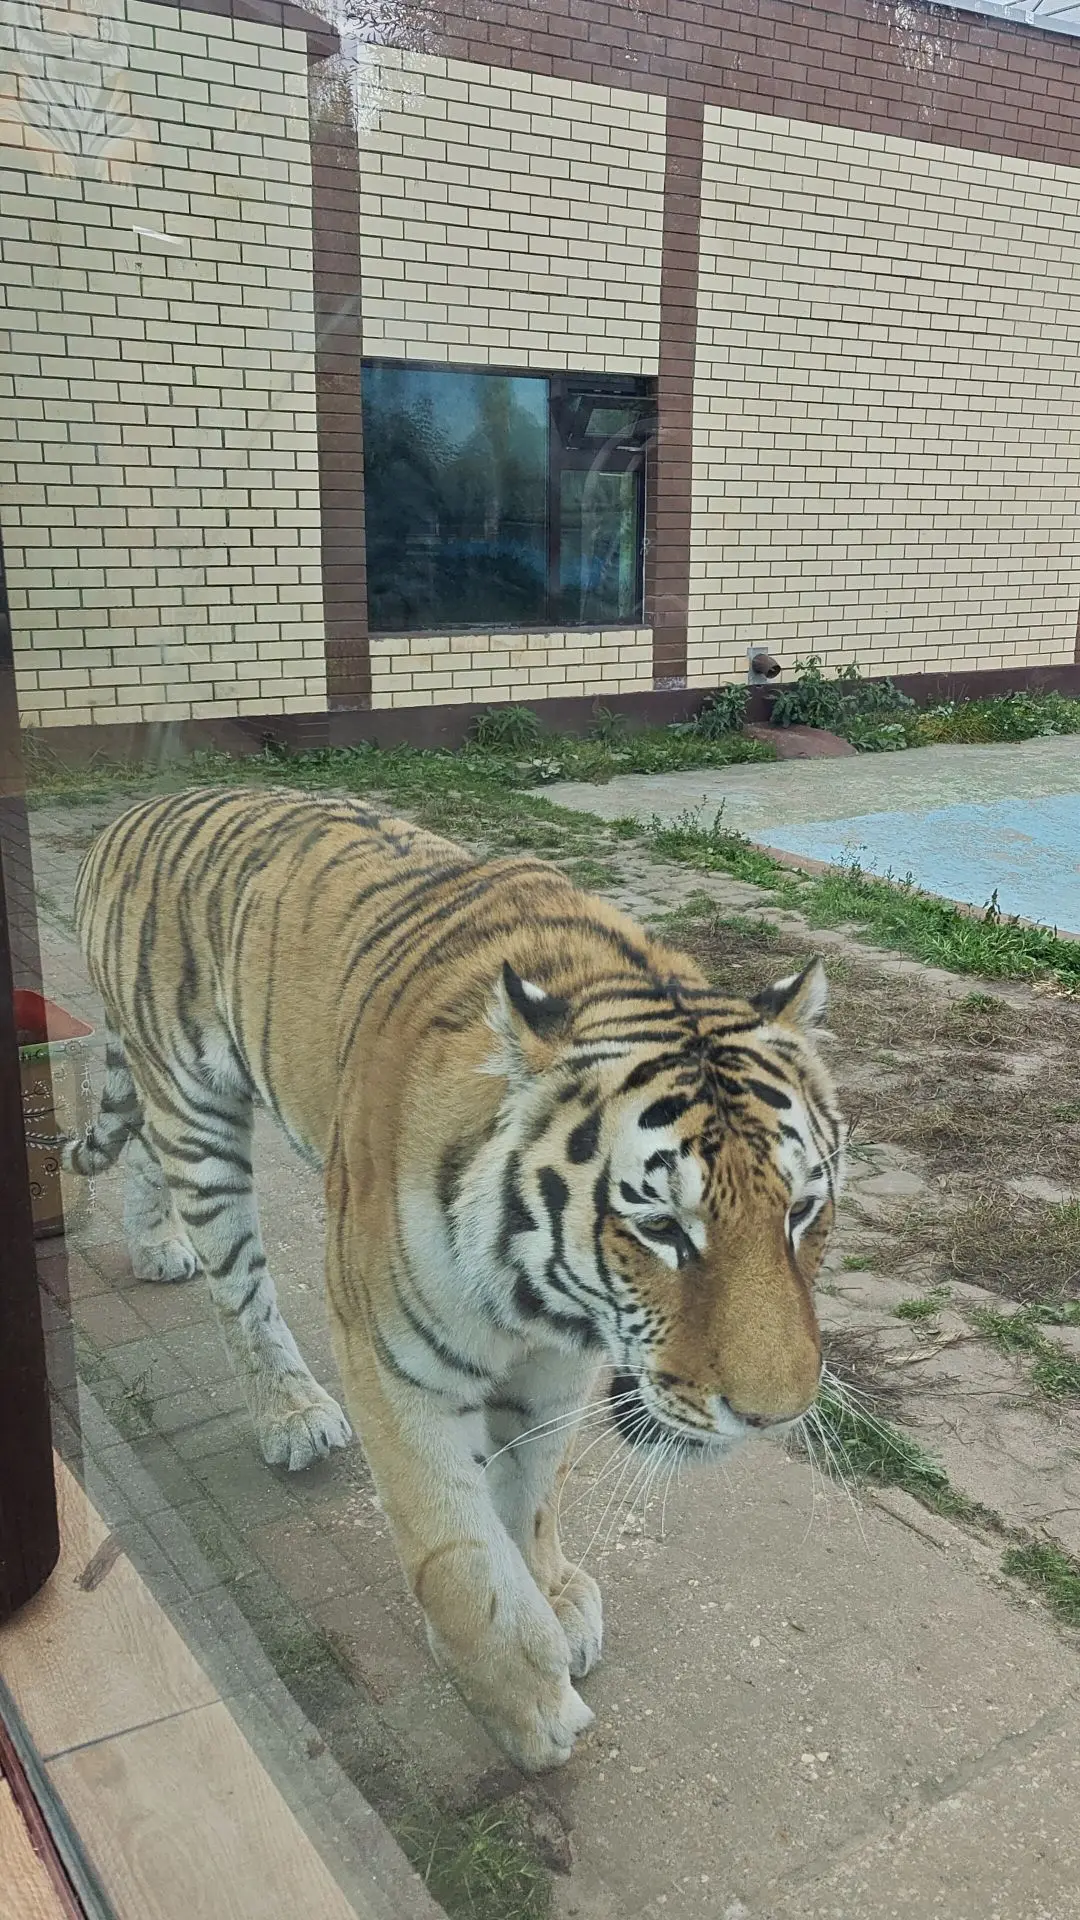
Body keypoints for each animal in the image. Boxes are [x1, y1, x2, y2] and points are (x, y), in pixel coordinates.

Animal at [63, 785, 845, 1772]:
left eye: (801, 1211)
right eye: (661, 1228)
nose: (775, 1417)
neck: (546, 1296)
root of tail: (135, 809)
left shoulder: (558, 1367)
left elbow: (533, 1495)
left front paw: (554, 1598)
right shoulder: (396, 1364)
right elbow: (461, 1558)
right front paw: (532, 1708)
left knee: (142, 1159)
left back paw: (155, 1245)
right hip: (199, 1118)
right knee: (236, 1284)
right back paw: (290, 1412)